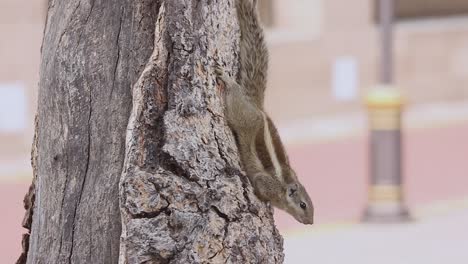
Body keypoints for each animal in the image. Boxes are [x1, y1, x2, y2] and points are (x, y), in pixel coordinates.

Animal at [216, 0, 314, 225]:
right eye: (303, 205)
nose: (310, 222)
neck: (284, 187)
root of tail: (257, 105)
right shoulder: (265, 182)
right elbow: (259, 184)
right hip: (242, 115)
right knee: (235, 99)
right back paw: (228, 80)